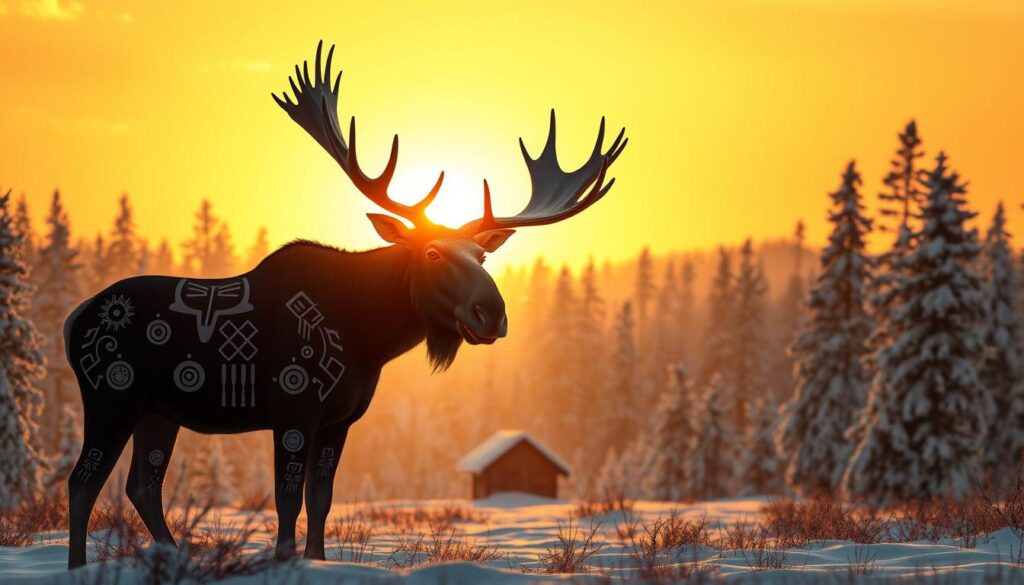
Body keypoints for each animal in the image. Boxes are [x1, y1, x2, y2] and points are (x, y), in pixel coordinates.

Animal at [64, 41, 626, 569]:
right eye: (432, 251)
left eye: (483, 253)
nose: (492, 313)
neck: (367, 336)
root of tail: (72, 319)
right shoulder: (293, 407)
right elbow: (287, 500)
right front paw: (287, 560)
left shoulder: (340, 419)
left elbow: (321, 500)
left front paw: (315, 558)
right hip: (112, 396)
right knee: (82, 481)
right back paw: (79, 566)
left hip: (159, 410)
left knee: (142, 486)